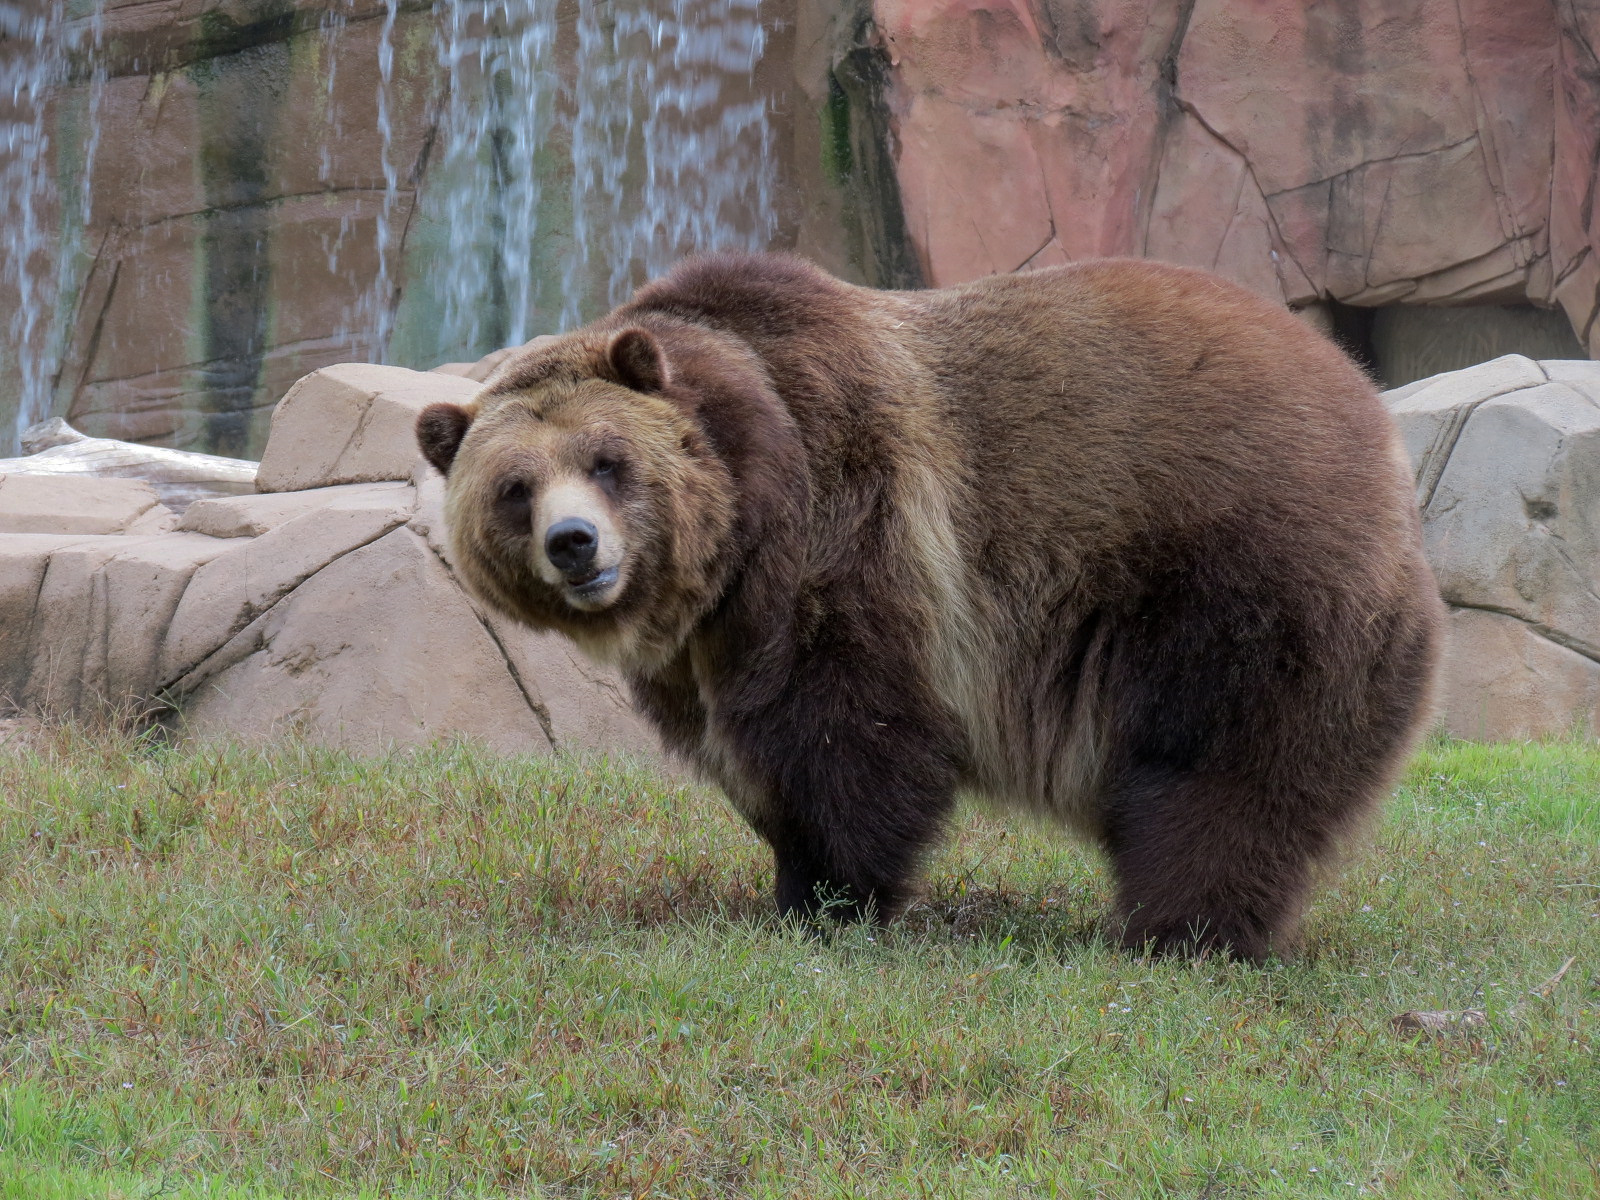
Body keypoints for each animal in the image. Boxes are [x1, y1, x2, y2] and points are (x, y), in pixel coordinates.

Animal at [416, 252, 1444, 961]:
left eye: (607, 460)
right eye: (514, 487)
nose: (575, 544)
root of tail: (1373, 417)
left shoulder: (848, 535)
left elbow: (848, 735)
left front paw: (825, 901)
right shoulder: (702, 644)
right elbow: (750, 755)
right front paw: (789, 874)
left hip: (1239, 579)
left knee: (1220, 772)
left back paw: (1181, 929)